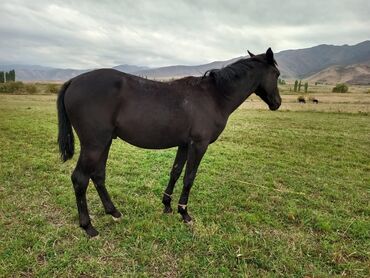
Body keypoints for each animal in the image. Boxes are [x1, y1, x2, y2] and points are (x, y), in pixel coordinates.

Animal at [56, 48, 280, 237]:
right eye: (277, 74)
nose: (277, 103)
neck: (214, 96)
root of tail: (73, 81)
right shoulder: (198, 145)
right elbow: (189, 177)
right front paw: (184, 213)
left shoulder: (184, 144)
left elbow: (175, 172)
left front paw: (167, 205)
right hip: (94, 145)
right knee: (80, 179)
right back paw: (88, 227)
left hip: (104, 143)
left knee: (98, 176)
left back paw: (114, 212)